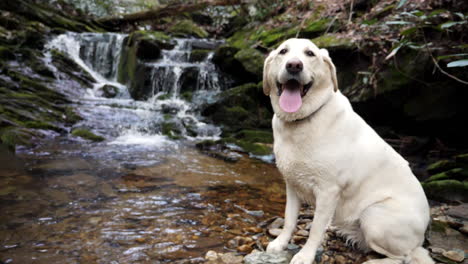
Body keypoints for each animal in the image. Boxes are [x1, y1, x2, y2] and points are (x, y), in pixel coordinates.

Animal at [262, 38, 434, 264]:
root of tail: (420, 239)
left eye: (310, 54)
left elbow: (315, 229)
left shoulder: (328, 192)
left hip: (374, 216)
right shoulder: (292, 185)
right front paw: (280, 243)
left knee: (403, 257)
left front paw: (305, 256)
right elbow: (290, 219)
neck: (301, 121)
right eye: (283, 51)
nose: (294, 65)